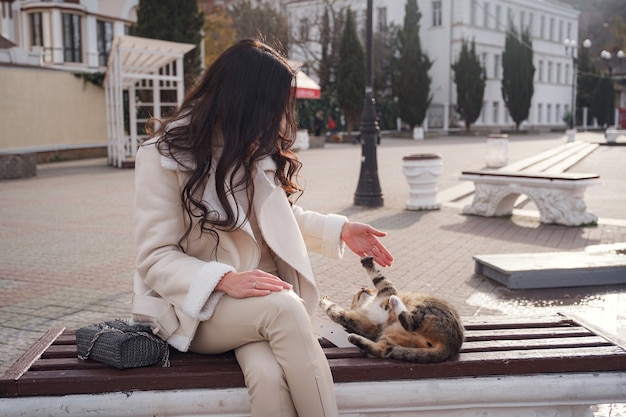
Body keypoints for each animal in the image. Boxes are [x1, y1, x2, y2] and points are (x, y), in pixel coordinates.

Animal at [322, 255, 464, 362]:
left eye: (367, 288)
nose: (362, 288)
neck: (369, 303)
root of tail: (452, 346)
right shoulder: (362, 322)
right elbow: (333, 310)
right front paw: (323, 301)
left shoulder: (387, 289)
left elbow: (378, 276)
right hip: (397, 332)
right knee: (387, 345)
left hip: (424, 306)